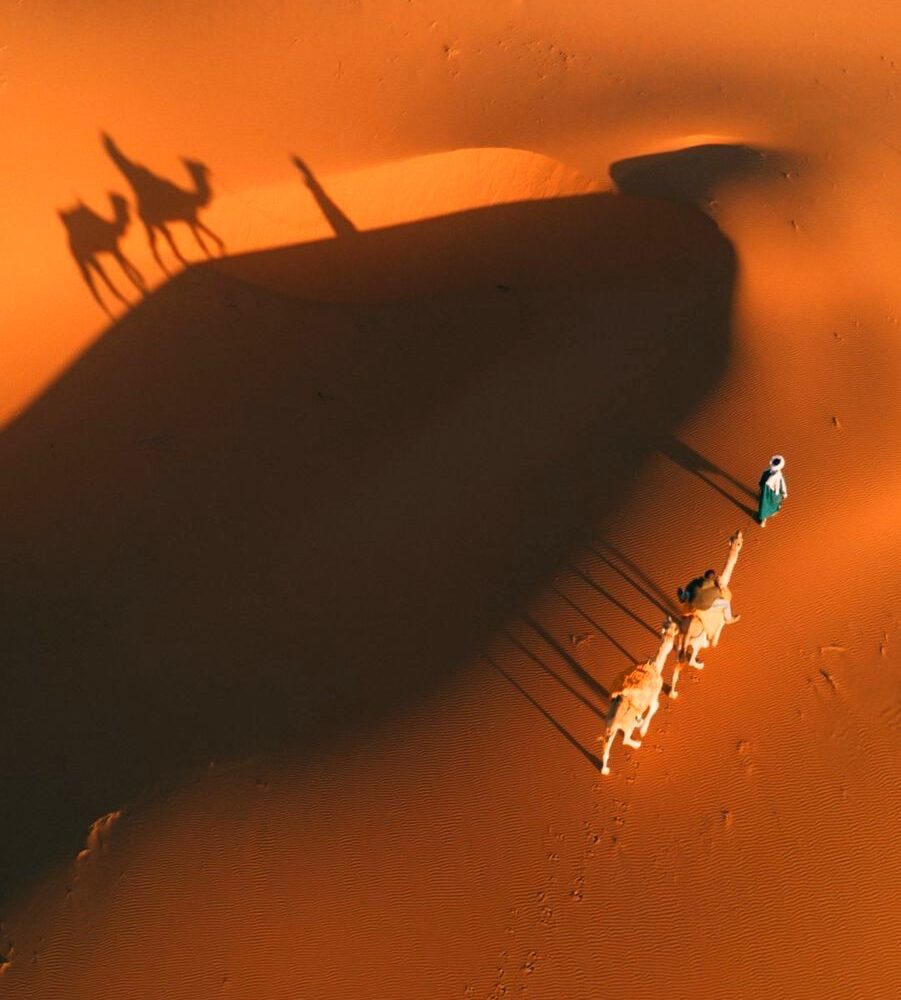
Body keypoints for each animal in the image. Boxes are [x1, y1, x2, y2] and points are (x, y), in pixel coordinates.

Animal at [102, 132, 224, 274]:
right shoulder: (190, 216)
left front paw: (218, 250)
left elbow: (201, 237)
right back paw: (178, 266)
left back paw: (170, 269)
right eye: (197, 165)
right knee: (161, 239)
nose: (207, 168)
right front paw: (218, 250)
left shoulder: (189, 218)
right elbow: (201, 240)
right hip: (155, 222)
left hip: (152, 223)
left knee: (154, 242)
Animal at [597, 616, 680, 775]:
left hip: (609, 726)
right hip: (624, 725)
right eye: (673, 629)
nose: (671, 619)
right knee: (625, 739)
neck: (655, 666)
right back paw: (637, 743)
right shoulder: (653, 698)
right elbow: (655, 708)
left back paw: (605, 770)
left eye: (669, 625)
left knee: (606, 749)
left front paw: (641, 722)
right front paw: (642, 729)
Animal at [671, 529, 743, 697]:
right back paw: (699, 665)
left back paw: (672, 693)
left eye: (735, 538)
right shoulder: (720, 619)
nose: (739, 531)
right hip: (696, 641)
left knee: (677, 664)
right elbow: (718, 634)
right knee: (689, 660)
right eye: (738, 542)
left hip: (680, 642)